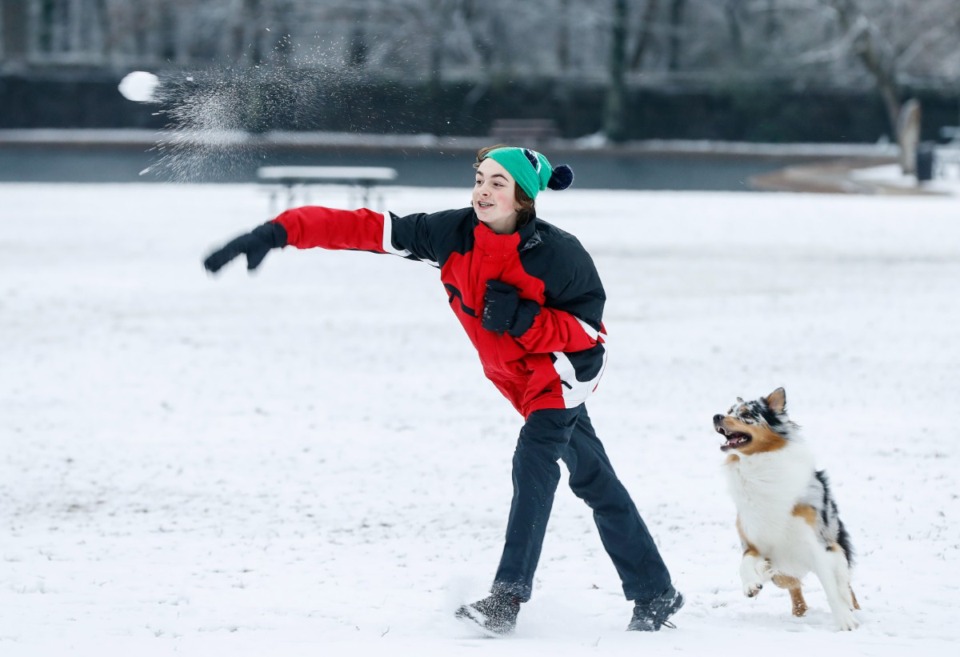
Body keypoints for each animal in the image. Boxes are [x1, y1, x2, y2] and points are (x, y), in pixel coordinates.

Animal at [712, 386, 864, 628]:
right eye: (728, 411)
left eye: (746, 414)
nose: (716, 416)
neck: (758, 467)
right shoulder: (754, 543)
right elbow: (744, 563)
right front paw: (751, 584)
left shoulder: (816, 545)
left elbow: (831, 587)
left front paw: (845, 621)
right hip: (783, 572)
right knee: (792, 584)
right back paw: (798, 611)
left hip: (835, 544)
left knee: (843, 579)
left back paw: (852, 607)